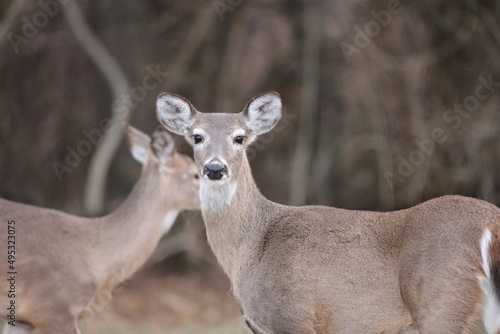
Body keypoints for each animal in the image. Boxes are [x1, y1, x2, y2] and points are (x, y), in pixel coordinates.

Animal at [157, 91, 500, 334]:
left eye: (239, 137)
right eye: (197, 136)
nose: (215, 168)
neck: (251, 248)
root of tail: (490, 227)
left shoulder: (294, 316)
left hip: (442, 303)